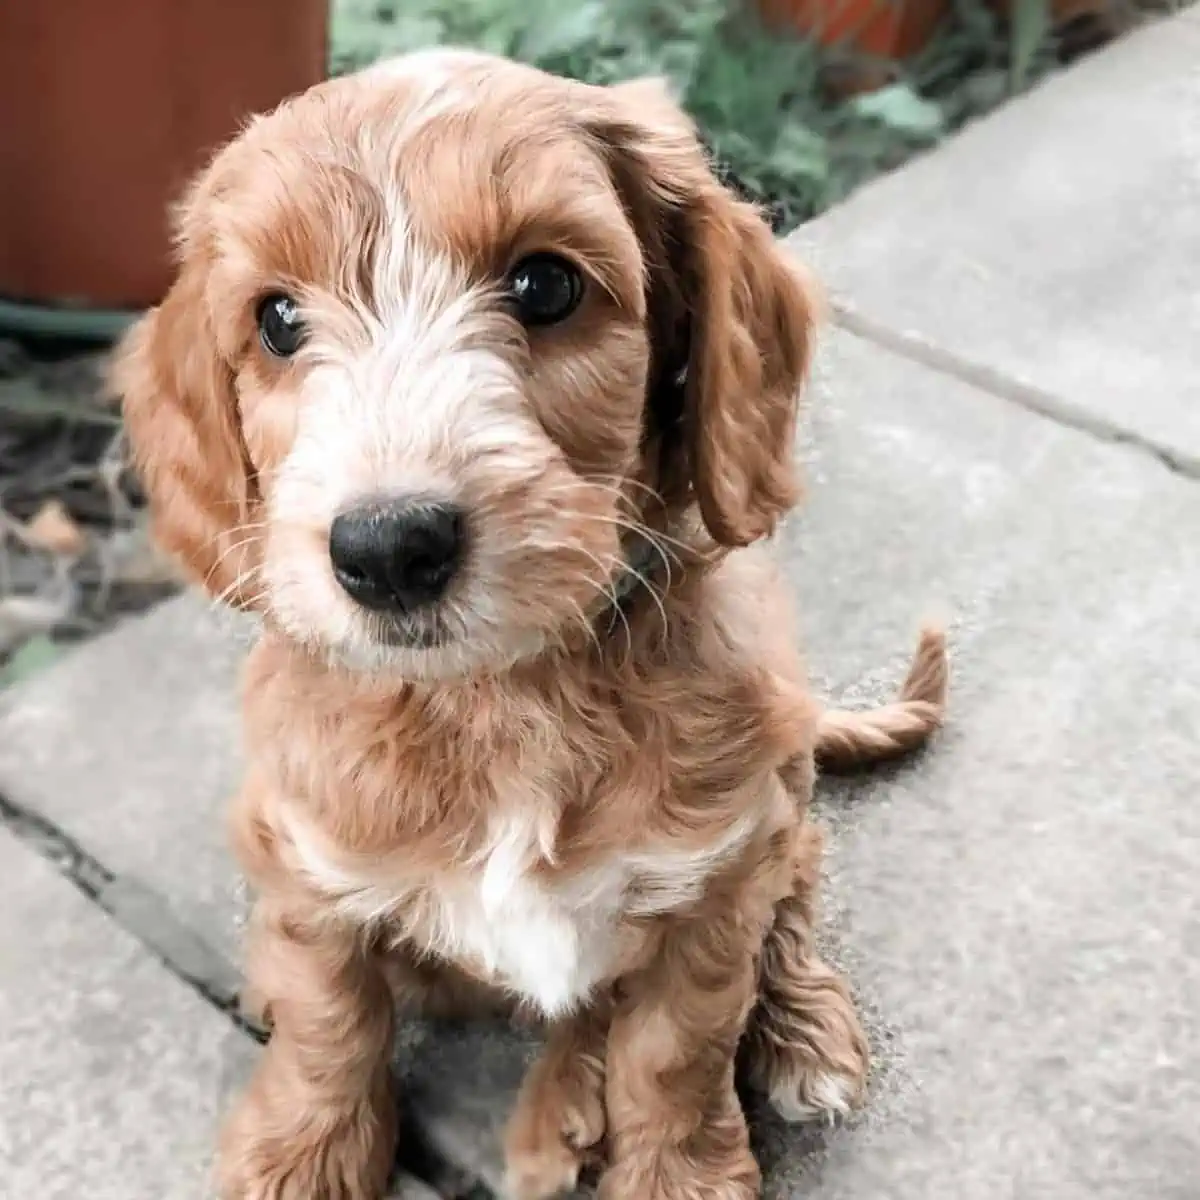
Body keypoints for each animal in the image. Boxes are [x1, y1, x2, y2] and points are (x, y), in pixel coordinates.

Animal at [117, 46, 945, 1200]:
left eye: (546, 284)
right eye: (277, 321)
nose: (388, 550)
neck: (502, 697)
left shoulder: (717, 877)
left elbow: (674, 1051)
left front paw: (677, 1171)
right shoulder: (302, 856)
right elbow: (330, 1025)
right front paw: (301, 1153)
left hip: (779, 782)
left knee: (794, 890)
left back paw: (789, 1034)